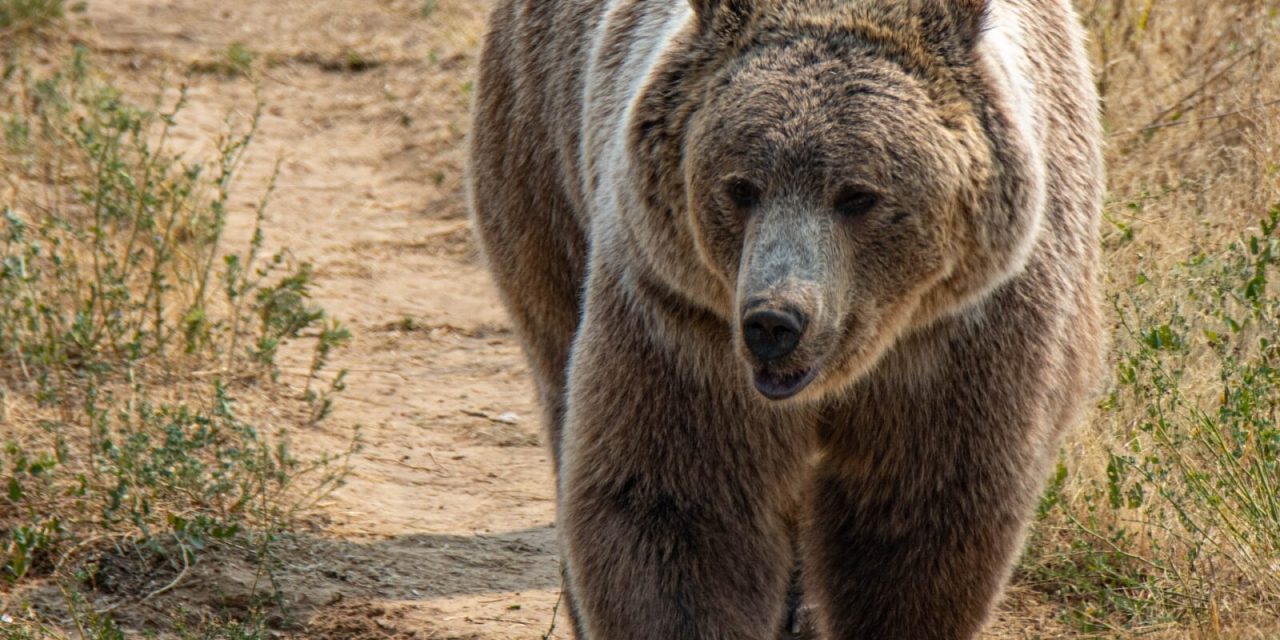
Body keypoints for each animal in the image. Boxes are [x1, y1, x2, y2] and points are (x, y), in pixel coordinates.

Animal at [465, 2, 1105, 637]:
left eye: (858, 195)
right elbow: (680, 506)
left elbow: (917, 517)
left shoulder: (966, 332)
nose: (774, 322)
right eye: (741, 187)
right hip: (543, 154)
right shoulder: (681, 317)